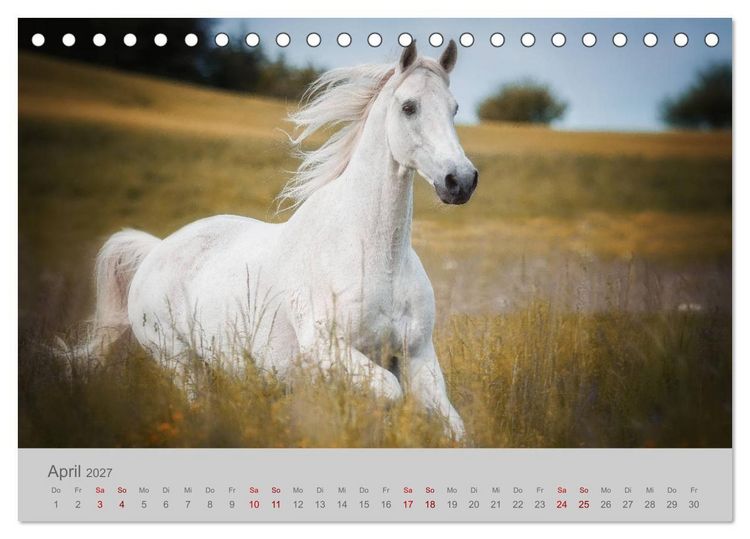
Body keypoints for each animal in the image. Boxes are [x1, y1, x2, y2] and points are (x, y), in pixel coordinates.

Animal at [85, 40, 478, 440]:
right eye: (408, 107)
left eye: (454, 108)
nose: (460, 181)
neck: (376, 254)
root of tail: (155, 250)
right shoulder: (327, 351)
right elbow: (391, 393)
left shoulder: (417, 355)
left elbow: (452, 425)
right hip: (179, 362)